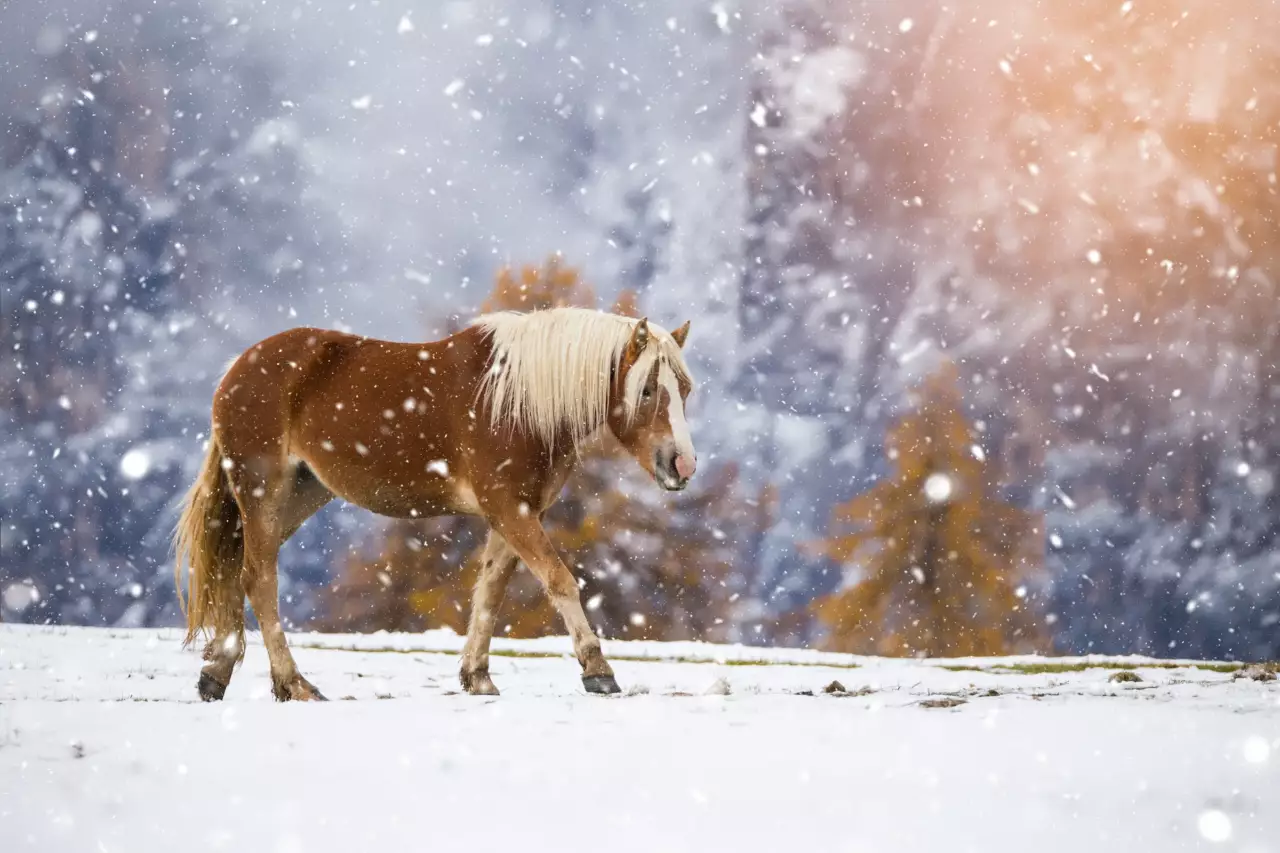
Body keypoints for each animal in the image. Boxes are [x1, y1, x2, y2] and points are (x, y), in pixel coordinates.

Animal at [174, 307, 696, 701]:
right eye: (647, 390)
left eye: (685, 390)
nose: (683, 464)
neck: (518, 399)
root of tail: (237, 368)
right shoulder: (510, 510)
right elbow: (559, 579)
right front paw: (598, 670)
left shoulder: (517, 513)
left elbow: (491, 589)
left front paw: (477, 676)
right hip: (263, 491)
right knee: (259, 578)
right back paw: (293, 684)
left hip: (299, 496)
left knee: (238, 569)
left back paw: (216, 674)